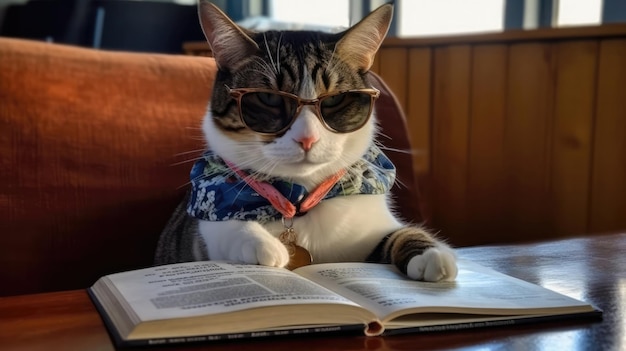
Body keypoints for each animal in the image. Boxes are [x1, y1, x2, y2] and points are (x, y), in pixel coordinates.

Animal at [155, 1, 456, 284]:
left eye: (335, 99)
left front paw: (431, 253)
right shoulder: (205, 218)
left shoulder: (368, 226)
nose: (307, 138)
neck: (298, 199)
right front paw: (261, 243)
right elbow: (222, 227)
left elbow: (401, 232)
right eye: (269, 98)